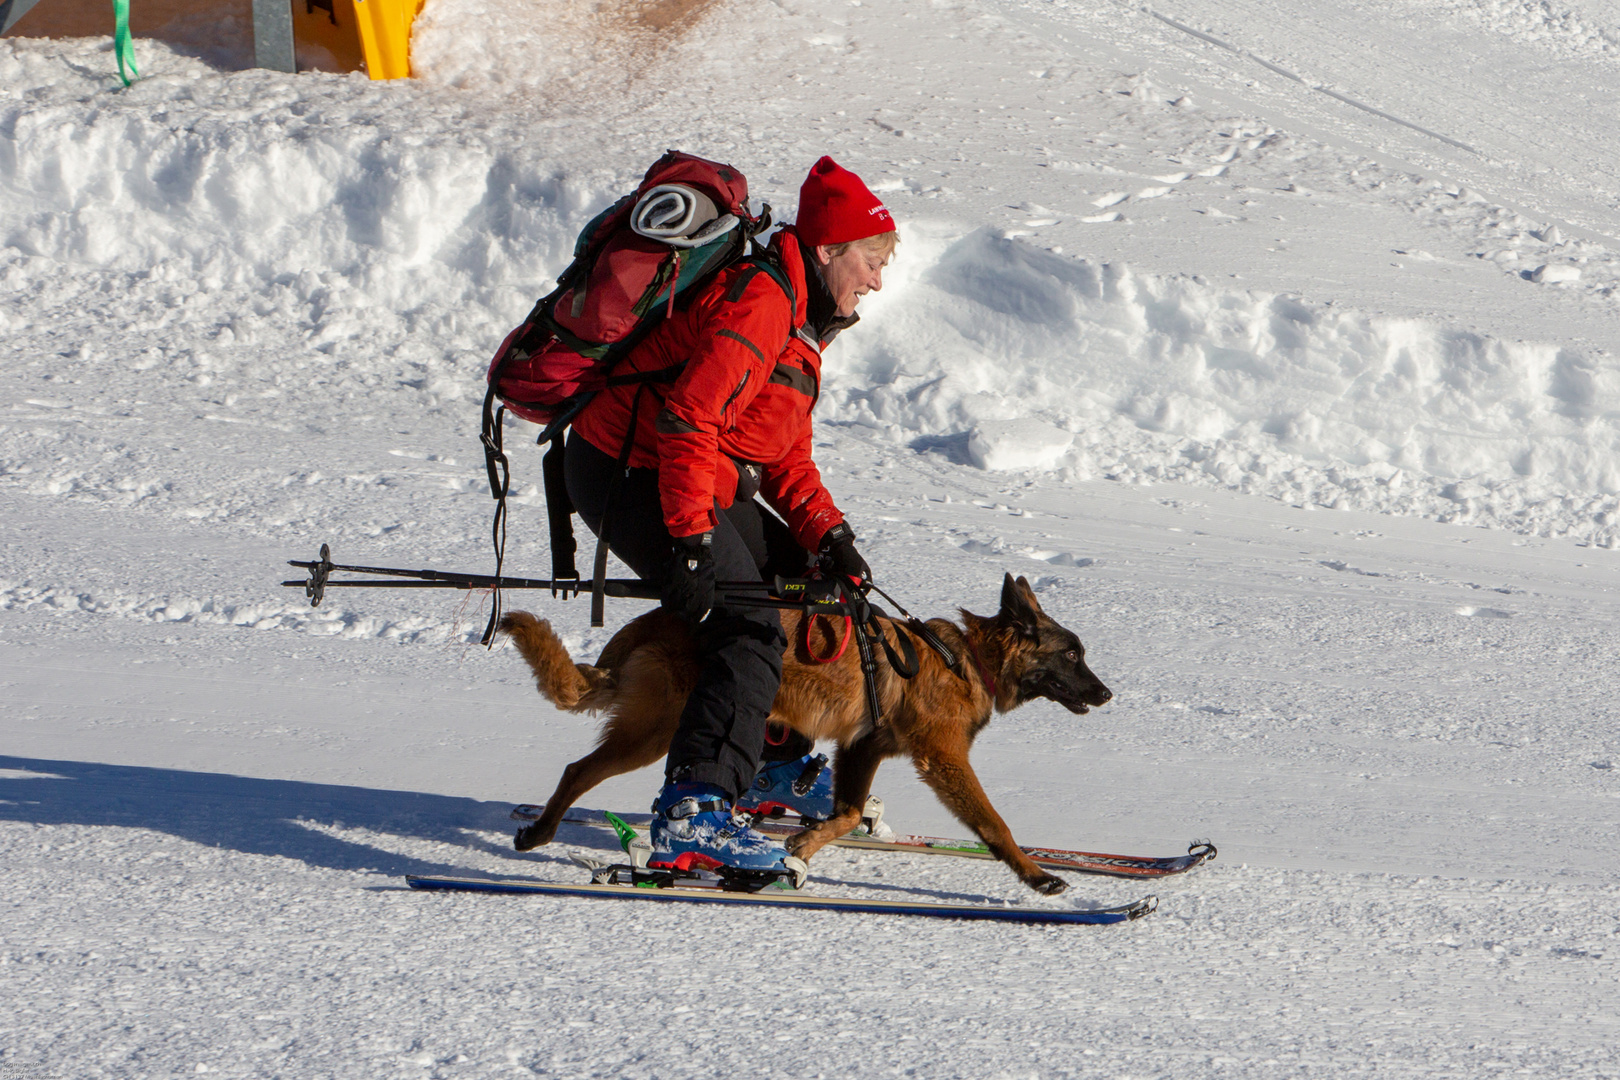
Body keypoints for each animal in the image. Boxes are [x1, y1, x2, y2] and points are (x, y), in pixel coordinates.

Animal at [502, 573, 1114, 893]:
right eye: (1072, 655)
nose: (1108, 694)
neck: (967, 660)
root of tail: (650, 620)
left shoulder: (861, 748)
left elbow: (847, 811)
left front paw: (803, 845)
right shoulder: (942, 759)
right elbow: (994, 823)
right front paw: (1035, 875)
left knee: (583, 769)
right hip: (655, 731)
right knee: (579, 770)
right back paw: (546, 832)